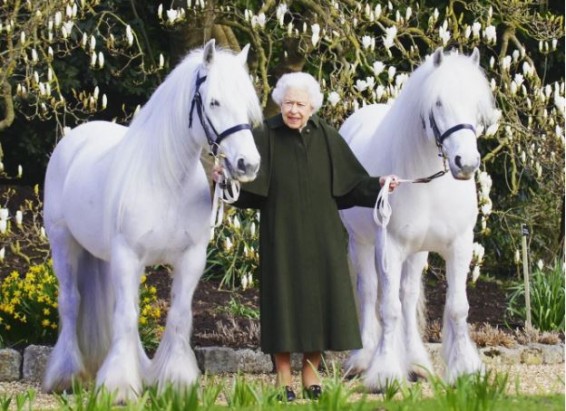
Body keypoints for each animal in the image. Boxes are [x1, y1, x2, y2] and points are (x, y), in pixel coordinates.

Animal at [43, 41, 262, 402]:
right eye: (214, 102)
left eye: (247, 104)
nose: (248, 164)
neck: (166, 180)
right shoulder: (128, 256)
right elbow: (125, 316)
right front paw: (118, 387)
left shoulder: (191, 259)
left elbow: (178, 316)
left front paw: (175, 382)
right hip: (63, 243)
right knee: (71, 302)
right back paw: (66, 375)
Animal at [340, 48, 500, 390]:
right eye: (437, 102)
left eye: (475, 103)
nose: (466, 163)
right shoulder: (388, 247)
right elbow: (388, 309)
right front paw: (384, 374)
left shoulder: (459, 245)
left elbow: (456, 308)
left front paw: (465, 370)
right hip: (361, 243)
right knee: (369, 291)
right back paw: (363, 359)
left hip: (417, 252)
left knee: (408, 294)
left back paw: (416, 363)